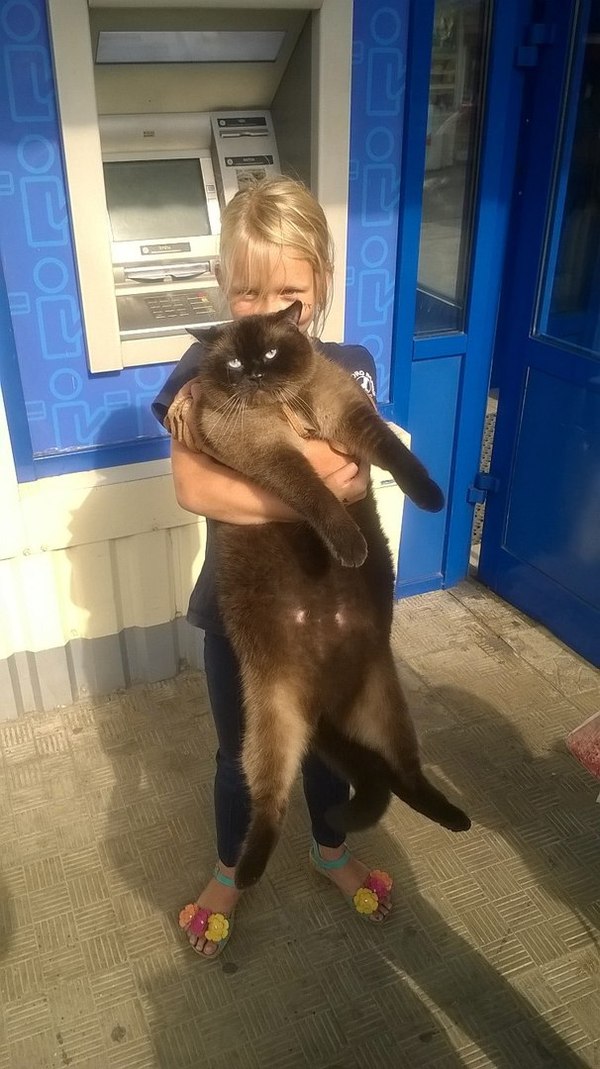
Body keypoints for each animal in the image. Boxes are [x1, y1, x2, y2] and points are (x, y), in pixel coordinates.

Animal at [165, 301, 470, 885]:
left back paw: (455, 818)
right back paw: (244, 874)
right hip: (272, 724)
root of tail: (322, 700)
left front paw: (431, 499)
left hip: (385, 708)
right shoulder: (271, 458)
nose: (254, 375)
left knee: (404, 775)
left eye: (269, 354)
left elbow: (397, 455)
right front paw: (351, 549)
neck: (286, 406)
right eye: (234, 362)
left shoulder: (351, 419)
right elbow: (317, 494)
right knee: (271, 803)